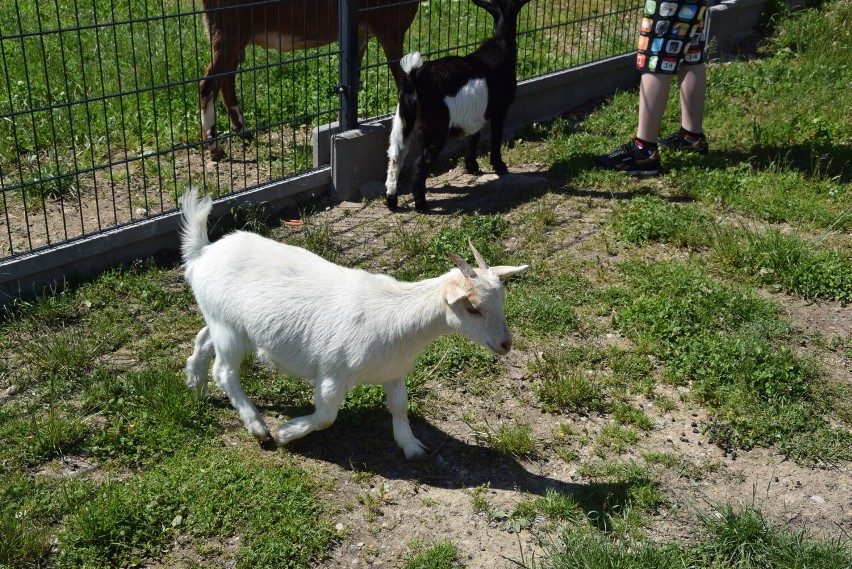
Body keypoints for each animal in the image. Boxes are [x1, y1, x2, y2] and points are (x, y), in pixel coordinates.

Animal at [180, 189, 524, 460]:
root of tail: (202, 252)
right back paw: (257, 425)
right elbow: (325, 417)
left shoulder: (393, 370)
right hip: (230, 329)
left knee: (203, 339)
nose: (506, 344)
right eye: (473, 308)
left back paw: (195, 384)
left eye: (502, 301)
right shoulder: (332, 373)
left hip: (222, 321)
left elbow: (400, 406)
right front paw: (286, 433)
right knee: (224, 371)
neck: (399, 315)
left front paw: (411, 446)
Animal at [202, 0, 422, 160]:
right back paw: (215, 149)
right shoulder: (390, 27)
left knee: (226, 79)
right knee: (208, 84)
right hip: (228, 27)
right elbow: (403, 83)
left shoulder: (361, 35)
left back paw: (243, 132)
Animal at [386, 0, 532, 212]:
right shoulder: (500, 107)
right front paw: (499, 165)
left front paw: (471, 167)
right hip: (435, 128)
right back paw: (421, 205)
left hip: (402, 121)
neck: (500, 46)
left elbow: (473, 137)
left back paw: (391, 201)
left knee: (395, 157)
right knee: (420, 164)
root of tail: (414, 78)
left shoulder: (474, 115)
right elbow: (496, 136)